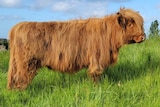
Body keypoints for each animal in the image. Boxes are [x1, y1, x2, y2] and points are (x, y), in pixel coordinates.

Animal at [7, 8, 145, 89]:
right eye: (131, 24)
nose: (143, 36)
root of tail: (17, 27)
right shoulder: (96, 59)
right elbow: (96, 74)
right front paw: (97, 88)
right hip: (26, 63)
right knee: (20, 77)